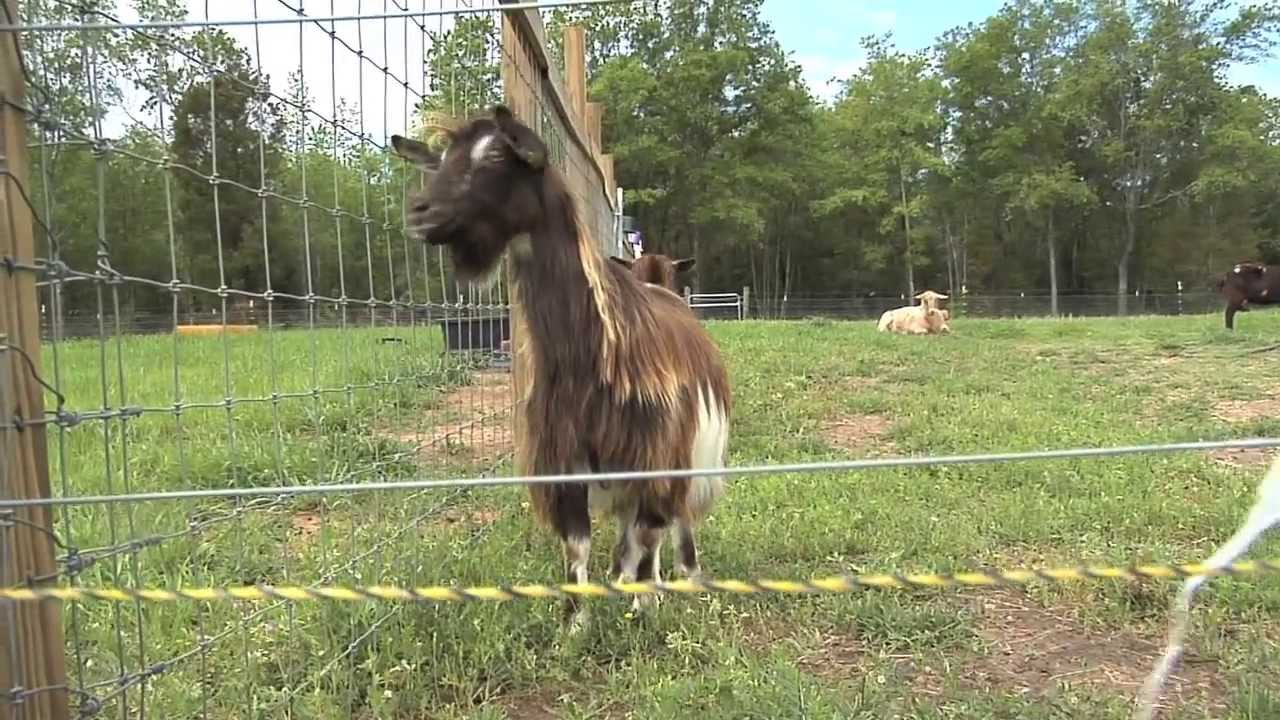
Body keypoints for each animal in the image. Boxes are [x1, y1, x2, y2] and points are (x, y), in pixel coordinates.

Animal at [391, 107, 731, 631]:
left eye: (497, 156)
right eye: (441, 160)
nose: (420, 211)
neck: (594, 350)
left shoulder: (656, 446)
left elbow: (651, 531)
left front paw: (644, 605)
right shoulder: (563, 453)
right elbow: (577, 544)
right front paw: (574, 623)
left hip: (694, 452)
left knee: (676, 519)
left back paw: (684, 575)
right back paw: (623, 574)